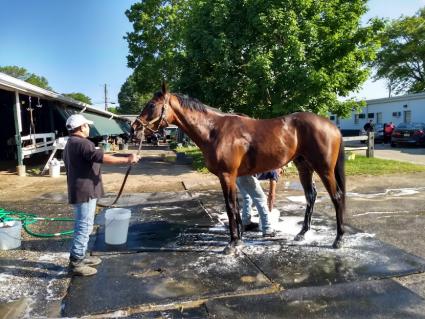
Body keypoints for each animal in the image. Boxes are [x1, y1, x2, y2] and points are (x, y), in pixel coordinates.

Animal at [132, 84, 344, 254]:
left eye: (152, 105)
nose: (134, 128)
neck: (215, 130)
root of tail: (331, 125)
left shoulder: (227, 176)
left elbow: (230, 206)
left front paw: (233, 243)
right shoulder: (232, 177)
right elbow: (236, 206)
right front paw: (240, 238)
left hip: (325, 170)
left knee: (337, 197)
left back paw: (339, 239)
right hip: (304, 167)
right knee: (310, 196)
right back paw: (302, 233)